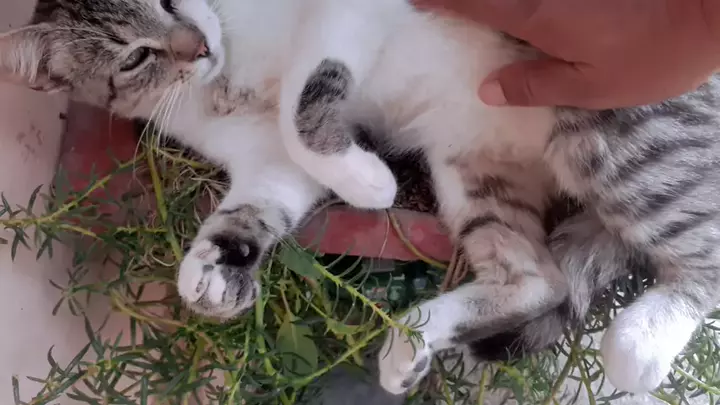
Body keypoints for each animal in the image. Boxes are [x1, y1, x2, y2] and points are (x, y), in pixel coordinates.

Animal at [3, 0, 720, 397]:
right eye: (134, 57)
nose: (198, 47)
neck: (228, 66)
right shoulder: (258, 155)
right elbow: (261, 195)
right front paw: (216, 266)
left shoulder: (346, 13)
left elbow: (303, 97)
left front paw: (370, 182)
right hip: (474, 172)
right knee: (537, 276)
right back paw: (416, 336)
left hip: (613, 131)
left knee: (705, 254)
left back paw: (641, 343)